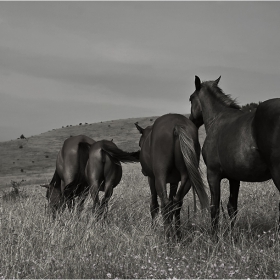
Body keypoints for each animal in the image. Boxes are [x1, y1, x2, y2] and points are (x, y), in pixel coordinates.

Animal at [135, 112, 209, 240]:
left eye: (140, 144)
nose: (143, 171)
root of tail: (176, 125)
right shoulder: (174, 181)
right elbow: (172, 200)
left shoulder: (151, 178)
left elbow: (154, 205)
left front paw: (154, 228)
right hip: (187, 177)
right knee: (176, 202)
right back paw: (177, 234)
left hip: (160, 176)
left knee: (165, 203)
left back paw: (168, 236)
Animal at [188, 75, 280, 233]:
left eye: (191, 99)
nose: (191, 121)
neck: (217, 119)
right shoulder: (234, 177)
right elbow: (232, 208)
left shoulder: (213, 175)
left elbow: (214, 208)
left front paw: (214, 236)